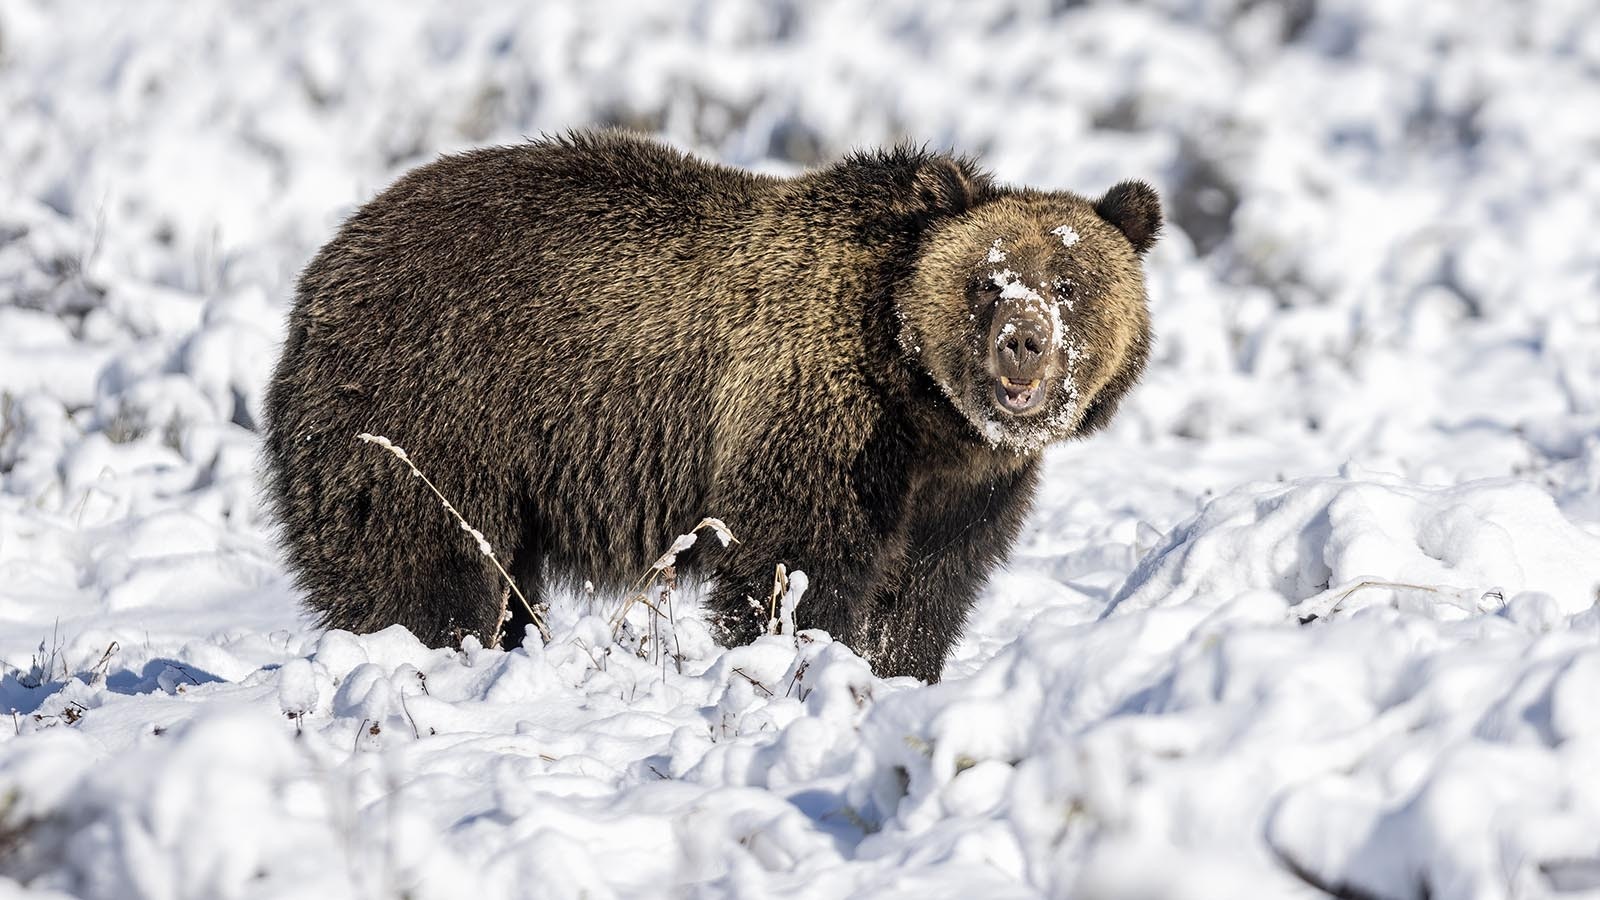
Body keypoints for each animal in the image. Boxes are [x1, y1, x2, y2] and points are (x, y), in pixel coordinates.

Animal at [265, 131, 1164, 679]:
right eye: (988, 279)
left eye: (1069, 283)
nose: (1023, 340)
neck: (923, 408)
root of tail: (322, 269)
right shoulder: (821, 424)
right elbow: (795, 569)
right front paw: (796, 661)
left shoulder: (965, 491)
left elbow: (923, 596)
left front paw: (894, 671)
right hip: (434, 412)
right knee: (427, 570)